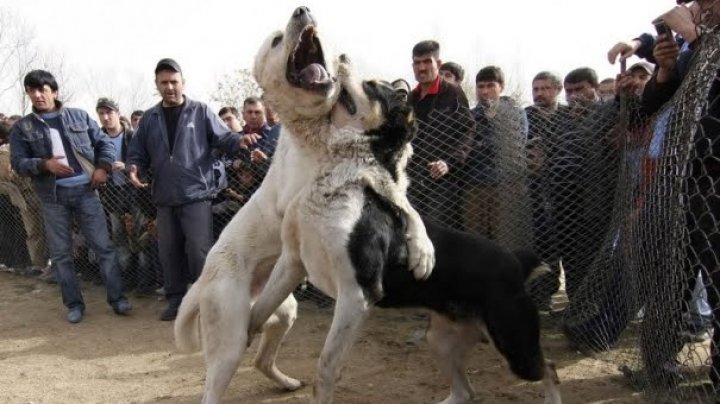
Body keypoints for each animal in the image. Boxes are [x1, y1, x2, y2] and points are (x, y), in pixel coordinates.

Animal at [174, 7, 434, 404]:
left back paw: (285, 382)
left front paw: (422, 250)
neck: (320, 133)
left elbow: (406, 207)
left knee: (261, 355)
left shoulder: (377, 179)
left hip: (284, 310)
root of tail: (203, 278)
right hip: (229, 340)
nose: (301, 11)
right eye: (277, 41)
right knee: (219, 380)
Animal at [248, 79, 564, 404]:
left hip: (515, 345)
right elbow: (255, 315)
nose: (338, 74)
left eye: (371, 87)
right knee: (466, 391)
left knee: (549, 368)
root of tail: (516, 262)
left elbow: (324, 370)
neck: (340, 183)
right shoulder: (292, 262)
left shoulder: (357, 295)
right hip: (440, 340)